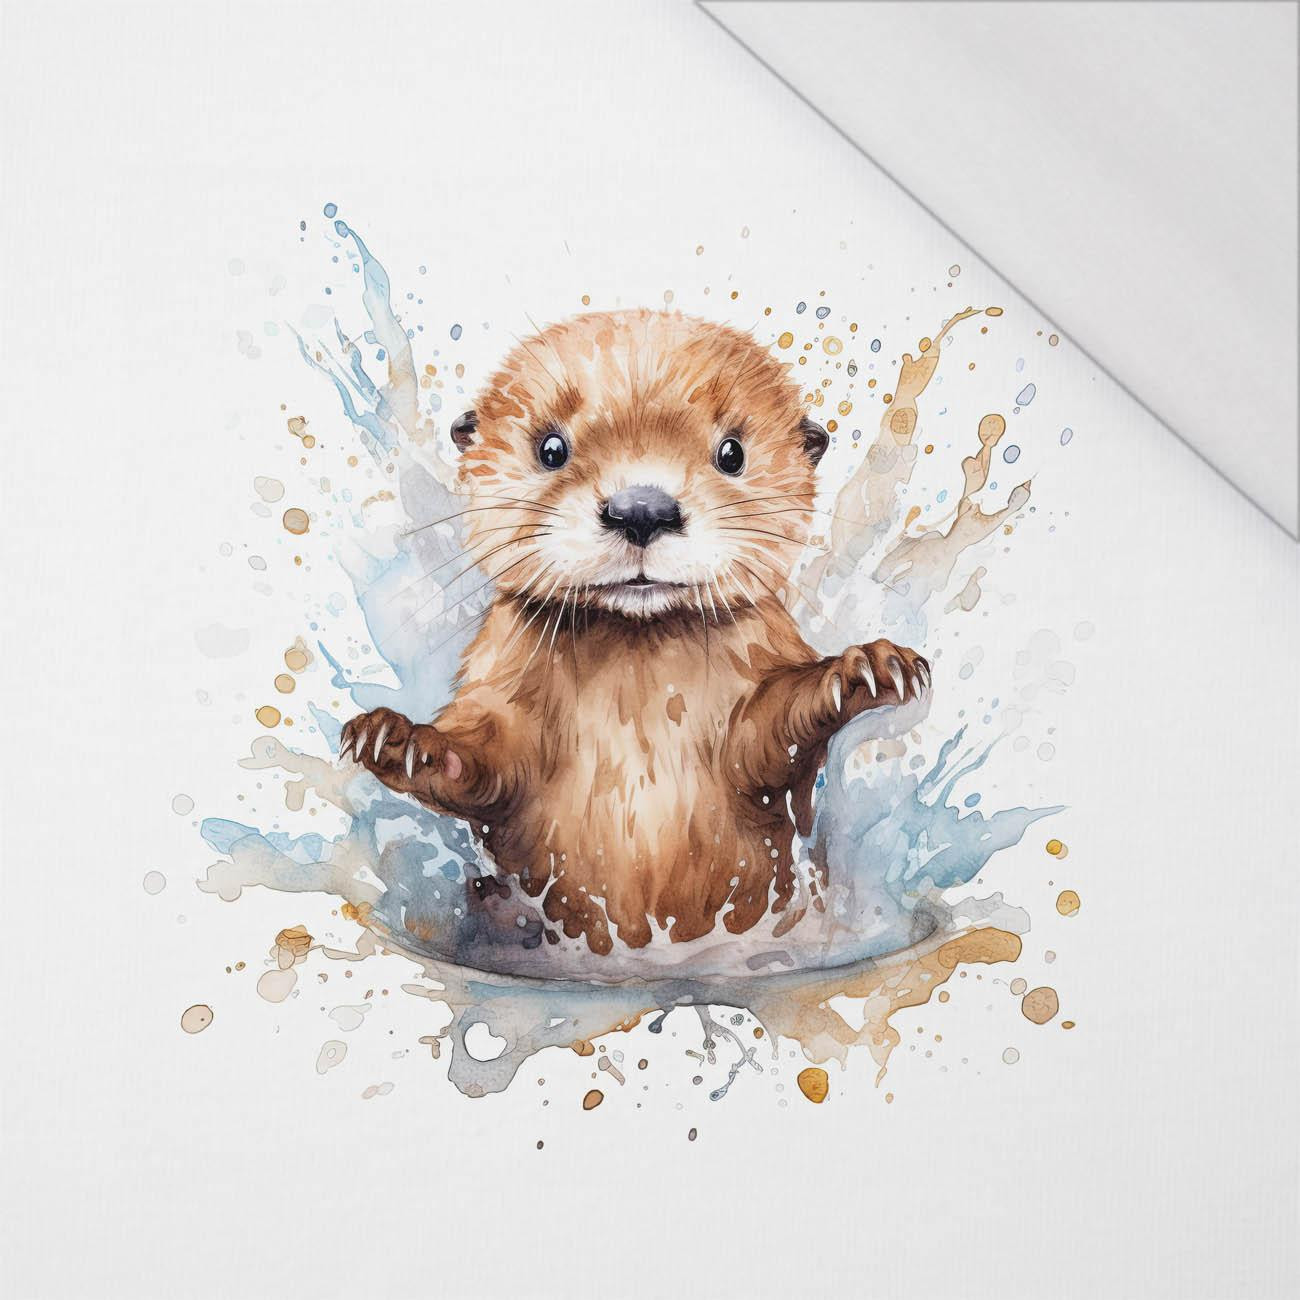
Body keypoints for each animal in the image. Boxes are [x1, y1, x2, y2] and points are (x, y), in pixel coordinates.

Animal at [340, 310, 929, 954]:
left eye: (731, 452)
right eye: (551, 448)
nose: (642, 509)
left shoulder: (758, 671)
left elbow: (770, 731)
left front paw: (865, 668)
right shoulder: (500, 682)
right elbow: (487, 756)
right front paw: (400, 740)